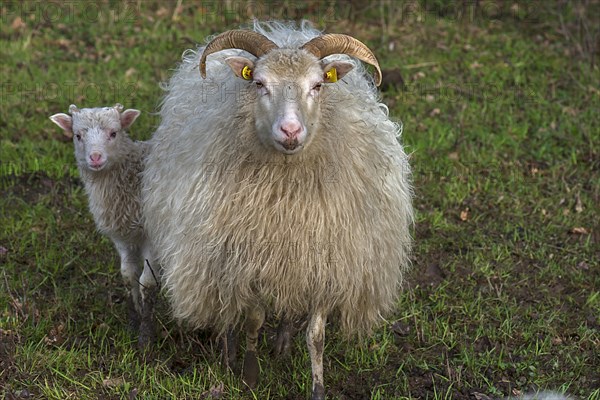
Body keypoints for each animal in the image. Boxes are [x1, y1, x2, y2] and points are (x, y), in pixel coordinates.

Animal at [142, 20, 412, 398]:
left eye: (317, 85)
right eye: (259, 83)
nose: (290, 130)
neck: (289, 195)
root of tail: (286, 30)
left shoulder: (326, 261)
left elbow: (316, 336)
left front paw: (317, 387)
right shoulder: (251, 259)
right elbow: (254, 320)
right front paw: (250, 375)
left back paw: (282, 342)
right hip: (219, 253)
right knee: (228, 309)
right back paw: (229, 352)